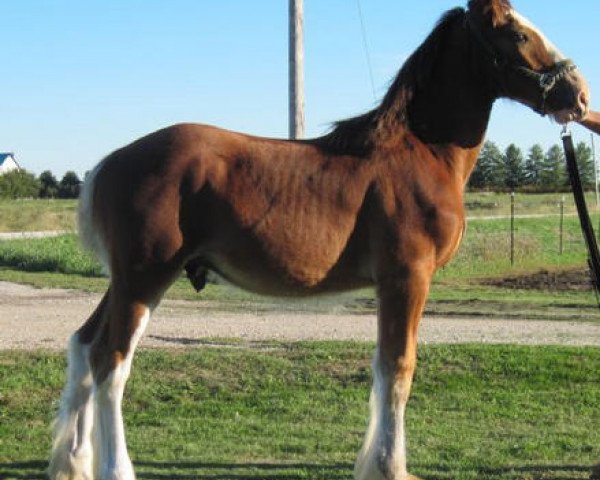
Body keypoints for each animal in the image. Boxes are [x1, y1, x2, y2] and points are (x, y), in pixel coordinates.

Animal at [48, 0, 592, 480]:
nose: (579, 94)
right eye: (517, 33)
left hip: (123, 283)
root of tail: (108, 163)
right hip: (145, 280)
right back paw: (115, 468)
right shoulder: (407, 278)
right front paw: (389, 467)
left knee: (84, 346)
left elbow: (383, 368)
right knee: (111, 363)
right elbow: (398, 368)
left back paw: (72, 463)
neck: (420, 152)